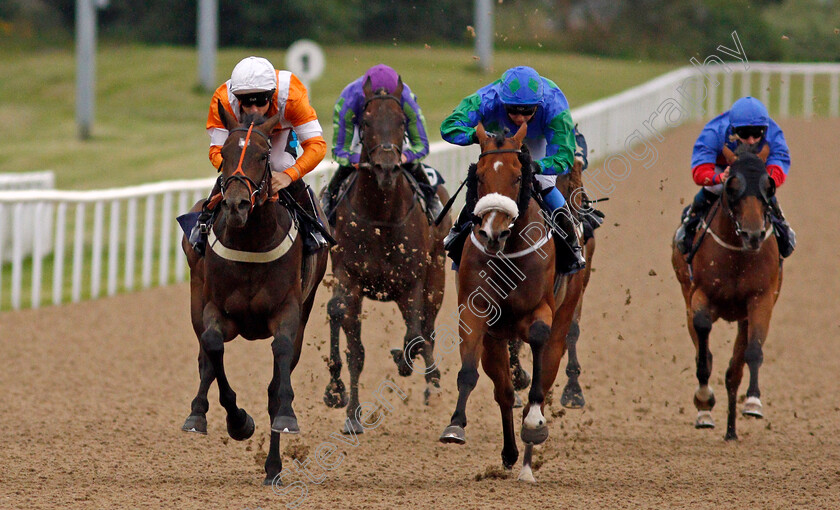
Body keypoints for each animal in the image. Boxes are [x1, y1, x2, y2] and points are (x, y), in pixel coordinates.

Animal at [180, 105, 328, 484]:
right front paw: (238, 422)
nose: (236, 205)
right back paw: (197, 413)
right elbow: (213, 348)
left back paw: (273, 466)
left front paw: (286, 418)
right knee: (205, 359)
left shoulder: (289, 310)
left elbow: (280, 370)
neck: (251, 241)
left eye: (263, 156)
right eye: (224, 155)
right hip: (195, 300)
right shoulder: (216, 309)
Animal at [324, 75, 452, 434]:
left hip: (436, 275)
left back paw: (432, 385)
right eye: (365, 122)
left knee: (427, 329)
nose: (386, 167)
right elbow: (355, 351)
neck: (381, 216)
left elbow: (415, 337)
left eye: (402, 122)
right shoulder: (350, 279)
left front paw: (406, 361)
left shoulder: (411, 282)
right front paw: (352, 414)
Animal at [436, 122, 588, 482]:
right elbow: (469, 371)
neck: (508, 253)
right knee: (503, 391)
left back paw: (529, 459)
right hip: (495, 340)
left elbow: (538, 343)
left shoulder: (541, 310)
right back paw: (511, 454)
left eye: (519, 176)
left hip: (564, 317)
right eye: (478, 176)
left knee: (544, 381)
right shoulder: (475, 312)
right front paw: (455, 425)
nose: (493, 232)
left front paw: (532, 423)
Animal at [672, 142, 784, 438]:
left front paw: (753, 402)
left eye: (769, 186)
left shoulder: (761, 300)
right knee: (704, 349)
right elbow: (703, 346)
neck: (737, 254)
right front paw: (703, 398)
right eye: (732, 185)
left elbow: (752, 352)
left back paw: (732, 430)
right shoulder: (700, 295)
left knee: (735, 368)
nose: (753, 235)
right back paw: (706, 413)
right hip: (687, 297)